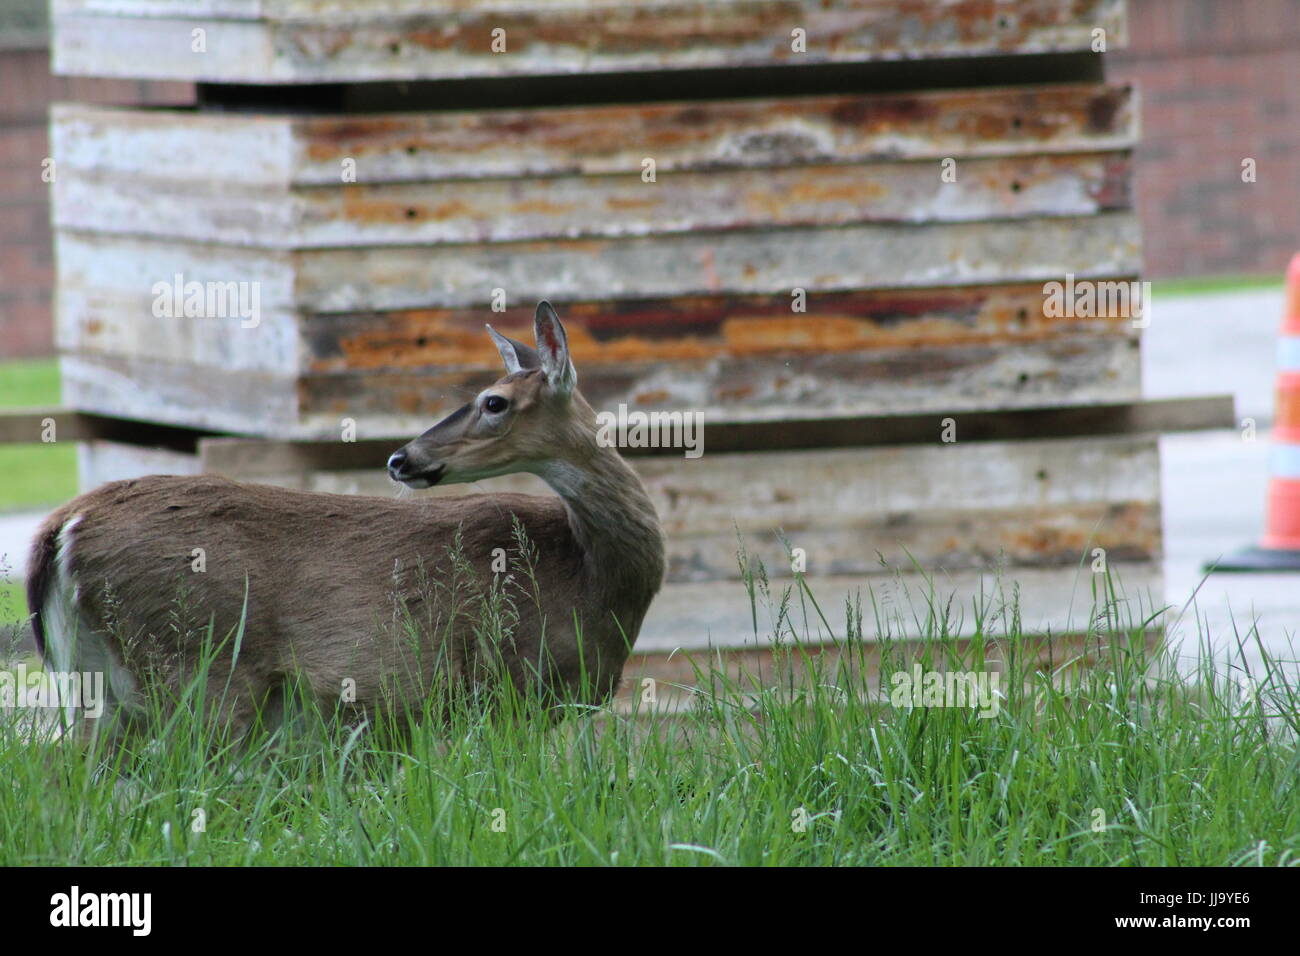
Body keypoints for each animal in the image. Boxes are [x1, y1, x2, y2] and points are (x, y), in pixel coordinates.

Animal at [25, 303, 665, 743]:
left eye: (493, 402)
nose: (400, 458)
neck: (591, 577)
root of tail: (62, 527)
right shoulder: (504, 687)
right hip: (196, 670)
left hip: (95, 685)